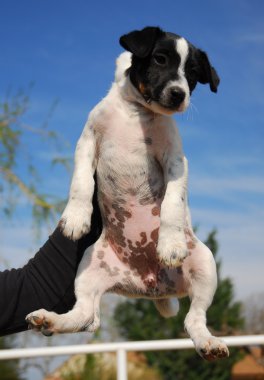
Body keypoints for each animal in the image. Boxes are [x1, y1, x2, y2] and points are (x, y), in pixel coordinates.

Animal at [27, 26, 229, 360]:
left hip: (205, 264)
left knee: (194, 318)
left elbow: (173, 203)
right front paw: (76, 217)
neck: (137, 112)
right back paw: (51, 319)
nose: (179, 94)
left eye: (192, 73)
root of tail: (150, 287)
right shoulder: (87, 144)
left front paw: (170, 242)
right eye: (160, 59)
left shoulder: (177, 162)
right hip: (88, 268)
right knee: (87, 316)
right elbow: (81, 183)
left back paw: (208, 342)